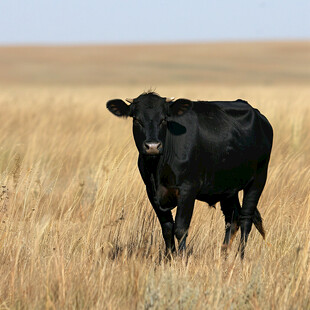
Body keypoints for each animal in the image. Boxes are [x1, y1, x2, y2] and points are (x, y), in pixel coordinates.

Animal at [107, 92, 274, 260]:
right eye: (136, 119)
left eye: (164, 119)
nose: (152, 146)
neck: (158, 168)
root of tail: (259, 116)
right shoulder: (151, 191)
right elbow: (167, 228)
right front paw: (168, 258)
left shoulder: (188, 189)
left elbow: (181, 229)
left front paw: (181, 259)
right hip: (228, 189)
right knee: (233, 219)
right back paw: (224, 256)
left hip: (258, 180)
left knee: (246, 219)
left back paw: (240, 258)